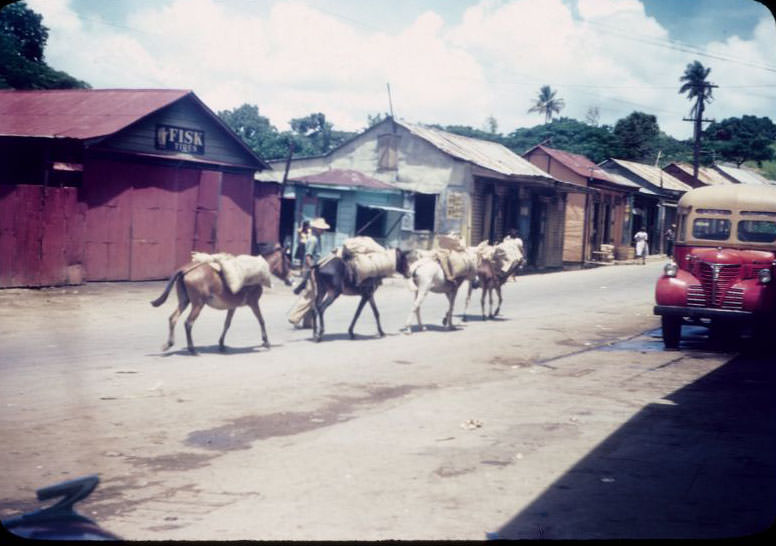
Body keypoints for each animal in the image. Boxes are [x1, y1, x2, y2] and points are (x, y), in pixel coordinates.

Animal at [151, 243, 292, 352]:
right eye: (288, 262)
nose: (291, 281)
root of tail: (185, 270)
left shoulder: (233, 306)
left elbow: (227, 324)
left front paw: (221, 343)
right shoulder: (253, 303)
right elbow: (261, 320)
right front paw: (266, 342)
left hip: (184, 301)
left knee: (173, 318)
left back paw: (169, 344)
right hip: (198, 304)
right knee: (188, 323)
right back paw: (192, 349)